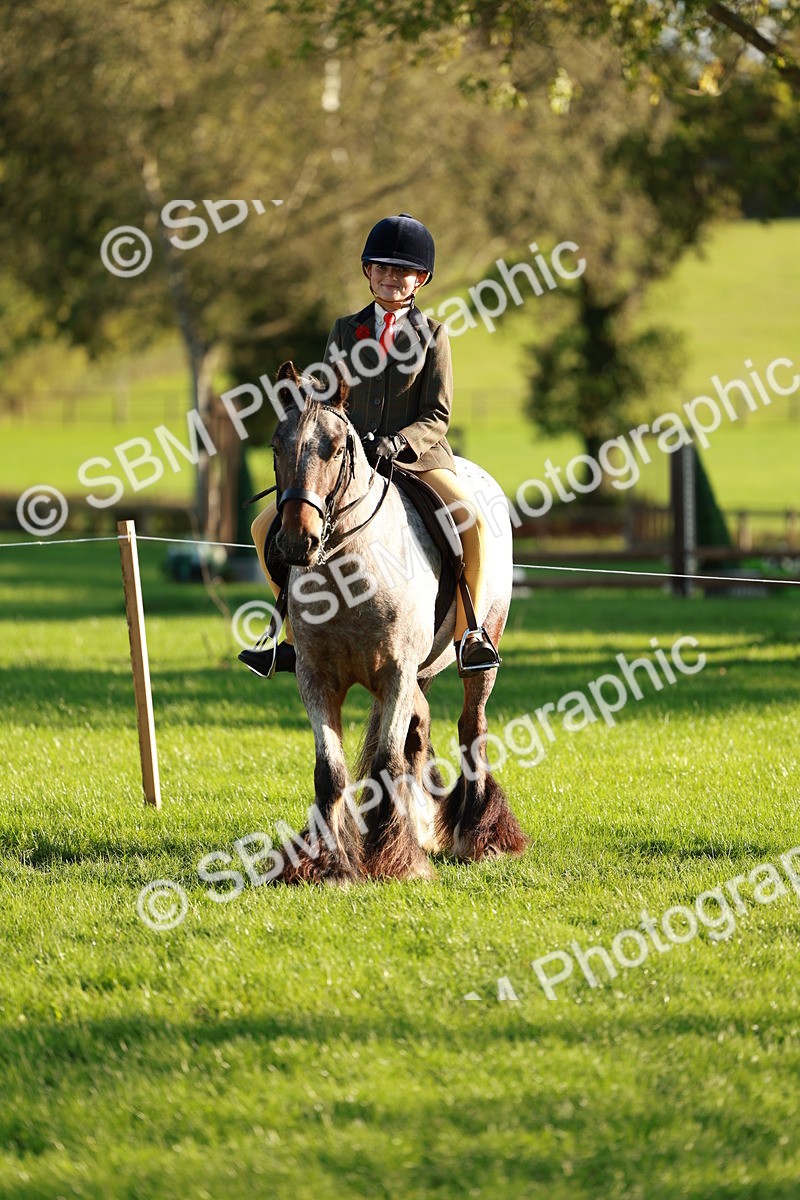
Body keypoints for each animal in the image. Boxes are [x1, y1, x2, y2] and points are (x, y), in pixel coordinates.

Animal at [264, 361, 527, 883]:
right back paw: (423, 823)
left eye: (336, 448)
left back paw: (480, 835)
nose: (297, 541)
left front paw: (394, 860)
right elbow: (332, 771)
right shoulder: (315, 678)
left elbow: (387, 759)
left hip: (480, 651)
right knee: (419, 733)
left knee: (471, 728)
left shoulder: (397, 673)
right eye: (277, 446)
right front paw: (330, 864)